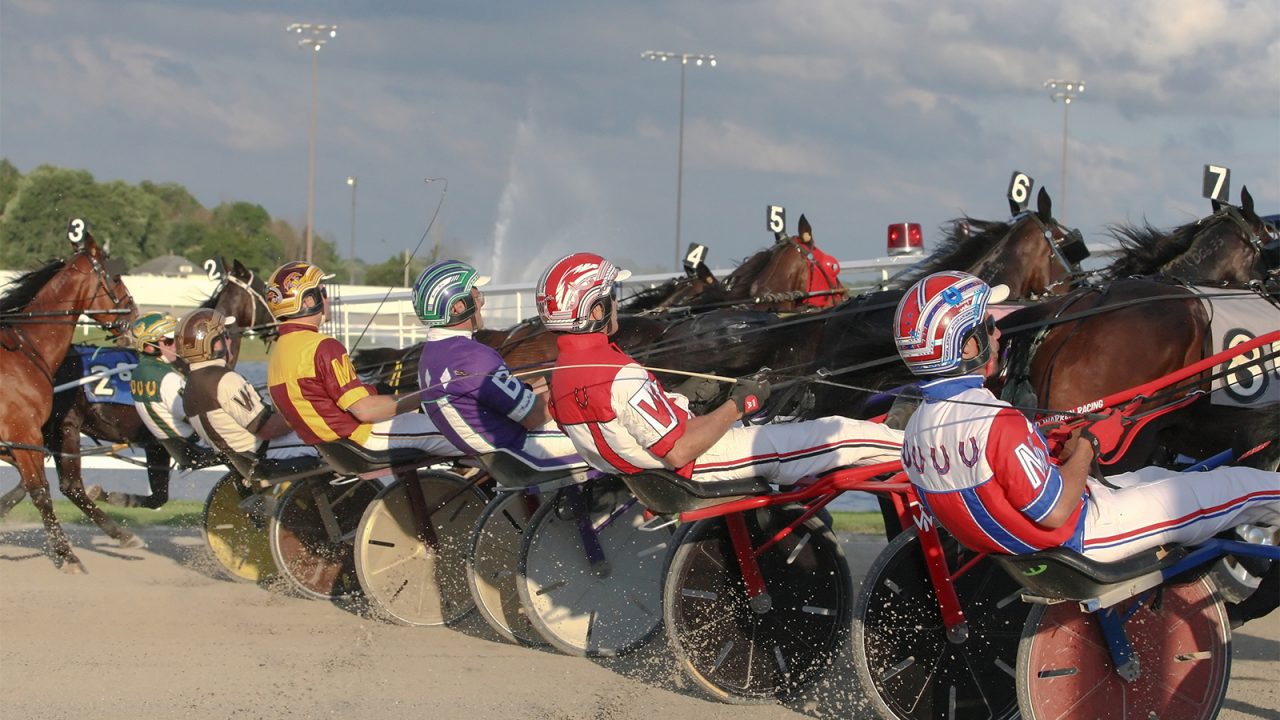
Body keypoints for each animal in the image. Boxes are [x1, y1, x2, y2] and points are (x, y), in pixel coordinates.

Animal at [0, 220, 137, 571]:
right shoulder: (24, 434)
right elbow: (40, 491)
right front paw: (67, 555)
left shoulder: (21, 442)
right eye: (115, 278)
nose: (133, 313)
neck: (26, 350)